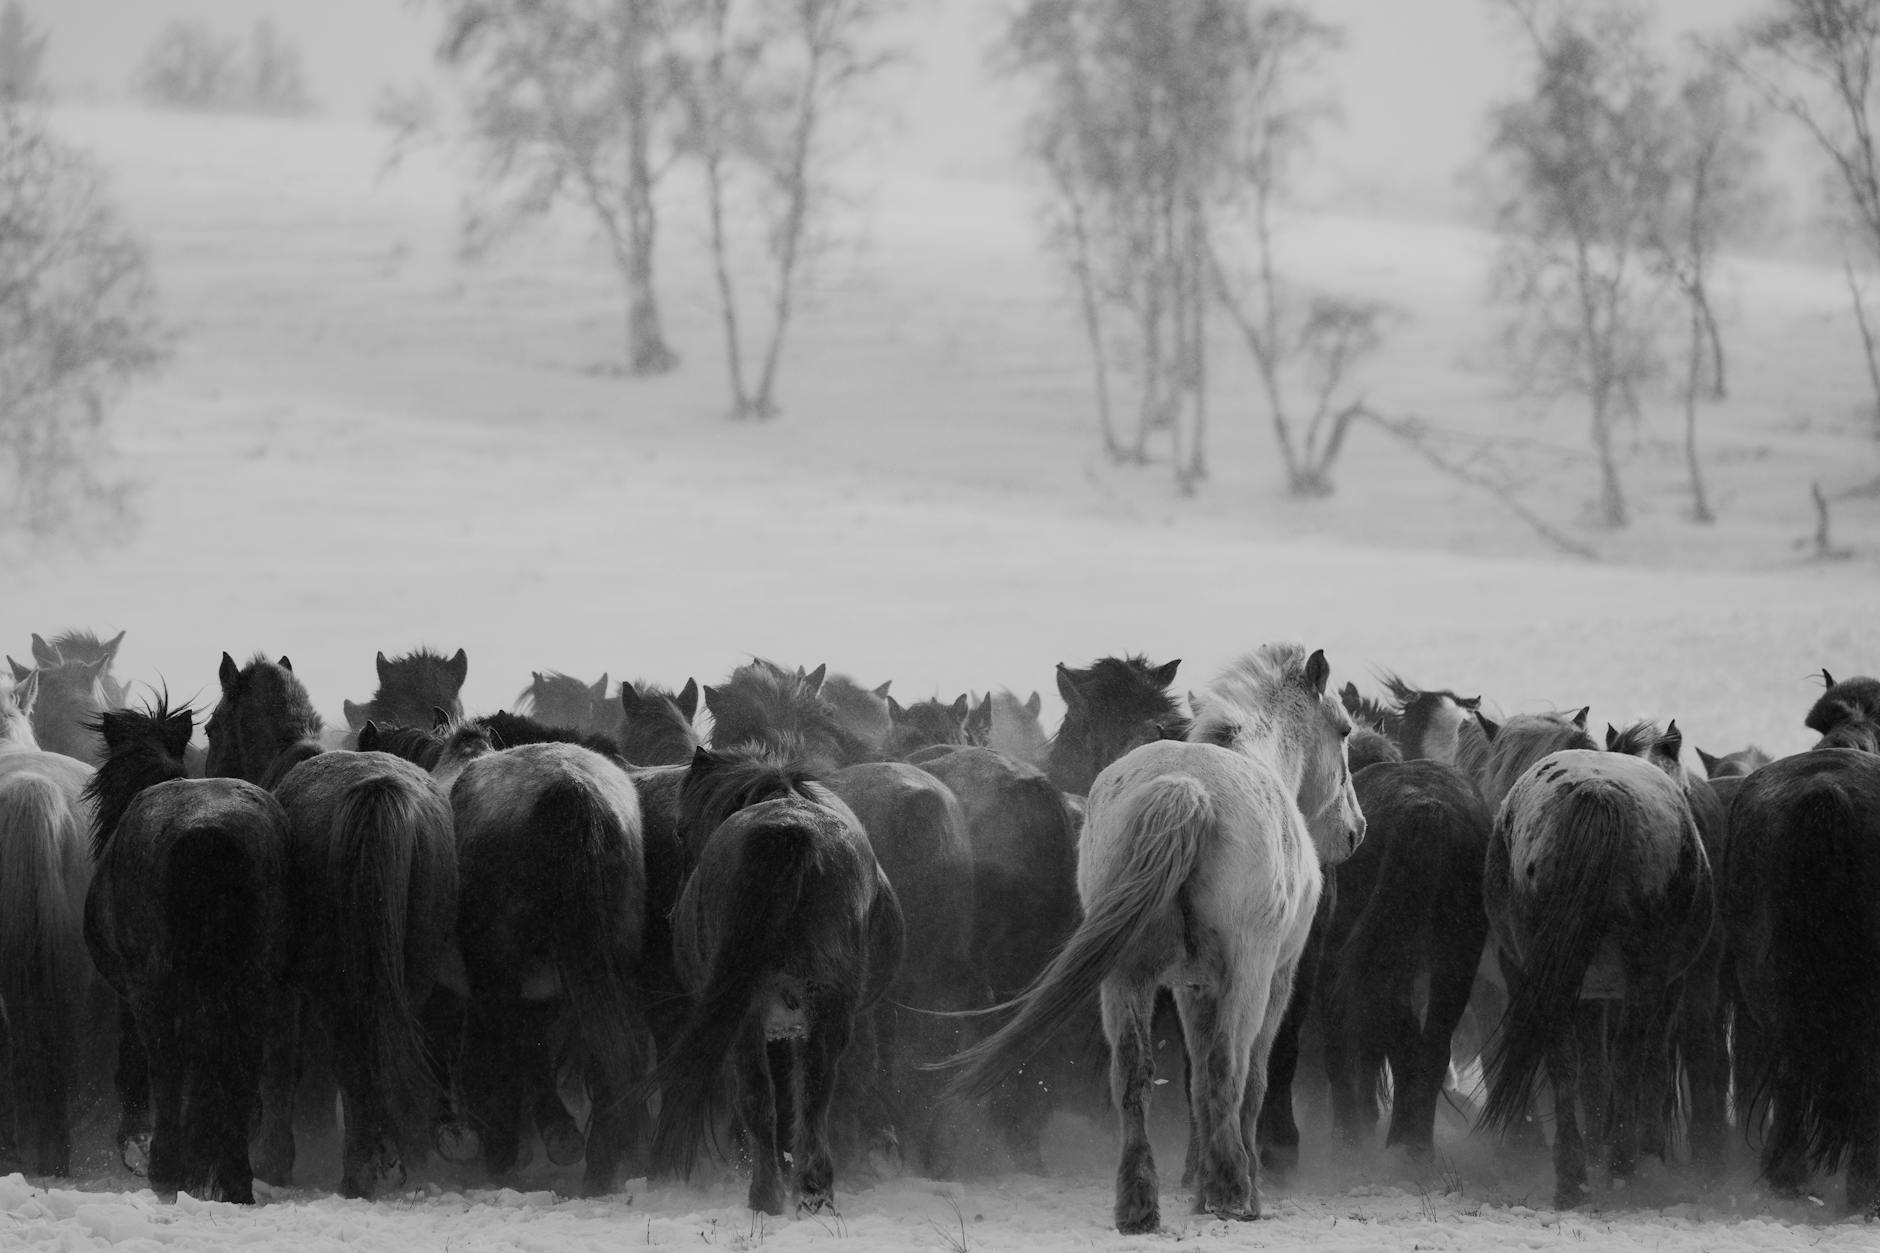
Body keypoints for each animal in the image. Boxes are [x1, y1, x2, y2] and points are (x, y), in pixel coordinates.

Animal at [82, 699, 289, 1202]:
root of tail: (208, 831)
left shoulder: (130, 993)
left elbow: (135, 1062)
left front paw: (135, 1144)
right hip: (253, 985)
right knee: (240, 1067)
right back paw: (234, 1178)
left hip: (159, 991)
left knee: (168, 1063)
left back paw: (166, 1168)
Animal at [205, 653, 460, 1199]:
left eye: (212, 728)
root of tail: (380, 793)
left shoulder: (283, 990)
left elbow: (279, 1065)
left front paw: (273, 1162)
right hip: (407, 973)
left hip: (336, 985)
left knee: (354, 1057)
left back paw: (362, 1168)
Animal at [447, 735, 648, 1197]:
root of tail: (572, 790)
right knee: (613, 1055)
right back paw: (599, 1166)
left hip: (499, 972)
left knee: (499, 1052)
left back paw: (502, 1155)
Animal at [651, 746, 905, 1216]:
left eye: (680, 830)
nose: (673, 914)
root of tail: (790, 833)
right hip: (819, 1010)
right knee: (809, 1095)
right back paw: (810, 1192)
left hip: (754, 1016)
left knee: (766, 1098)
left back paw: (770, 1194)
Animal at [1481, 748, 1715, 1209]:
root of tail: (1597, 793)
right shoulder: (1667, 987)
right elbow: (1651, 1066)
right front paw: (1649, 1150)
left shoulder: (1589, 995)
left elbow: (1591, 1071)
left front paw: (1594, 1147)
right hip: (1643, 974)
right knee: (1629, 1059)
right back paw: (1622, 1167)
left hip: (1546, 973)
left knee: (1563, 1062)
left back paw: (1574, 1175)